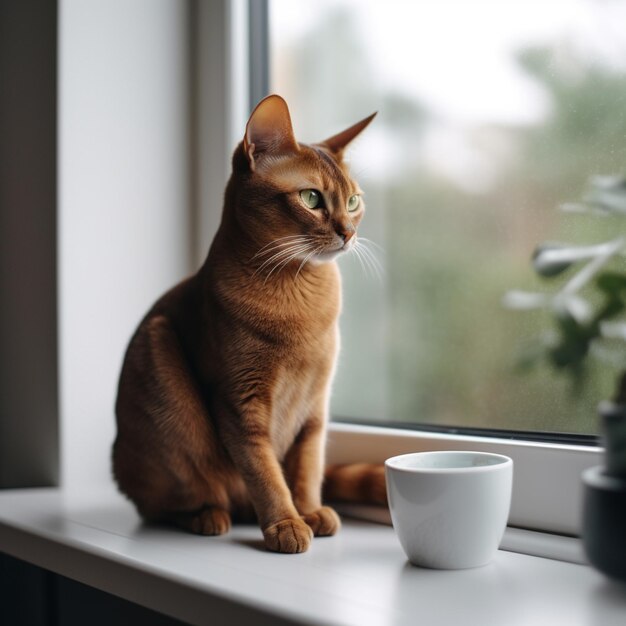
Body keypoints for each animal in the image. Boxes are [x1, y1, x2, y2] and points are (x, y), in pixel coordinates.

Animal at [112, 92, 386, 552]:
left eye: (353, 202)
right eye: (311, 198)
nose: (347, 233)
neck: (300, 296)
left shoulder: (316, 408)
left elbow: (306, 467)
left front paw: (309, 511)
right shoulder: (241, 405)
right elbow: (265, 472)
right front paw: (286, 524)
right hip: (157, 351)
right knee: (160, 505)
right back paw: (206, 516)